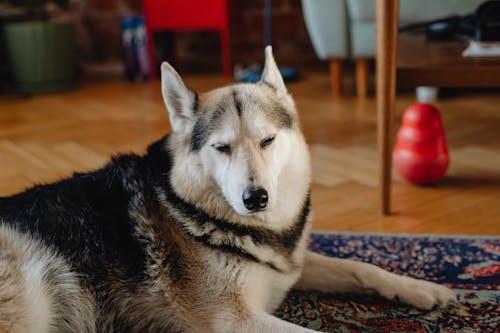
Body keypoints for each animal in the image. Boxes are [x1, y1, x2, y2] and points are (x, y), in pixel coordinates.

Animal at [0, 47, 456, 332]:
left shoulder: (288, 267)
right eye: (222, 148)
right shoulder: (236, 319)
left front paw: (420, 288)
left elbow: (362, 267)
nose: (256, 199)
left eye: (268, 140)